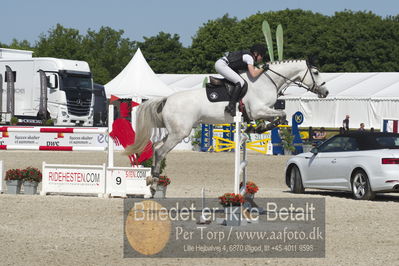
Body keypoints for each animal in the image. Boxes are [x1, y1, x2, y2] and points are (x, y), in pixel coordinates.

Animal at [126, 59, 330, 186]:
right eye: (316, 72)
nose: (326, 92)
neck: (267, 81)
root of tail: (167, 99)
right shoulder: (258, 109)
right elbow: (282, 114)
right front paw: (263, 126)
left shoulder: (261, 111)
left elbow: (279, 117)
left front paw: (260, 127)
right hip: (179, 133)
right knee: (161, 151)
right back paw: (154, 178)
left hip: (174, 131)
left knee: (156, 147)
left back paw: (153, 176)